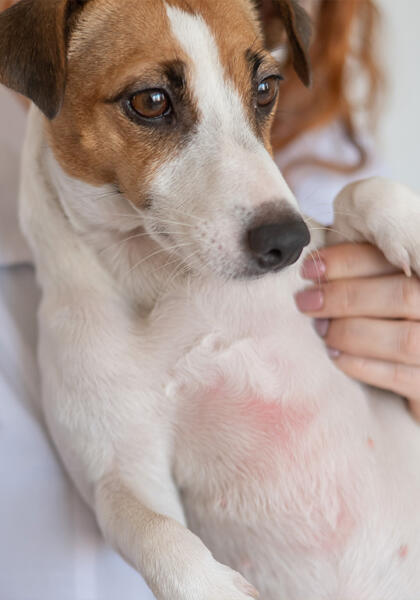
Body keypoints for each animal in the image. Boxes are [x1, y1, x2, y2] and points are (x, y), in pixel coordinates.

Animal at [0, 0, 420, 596]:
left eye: (266, 88)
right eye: (151, 101)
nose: (287, 241)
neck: (176, 280)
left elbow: (358, 192)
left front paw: (406, 227)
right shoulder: (121, 470)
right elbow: (155, 530)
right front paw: (214, 586)